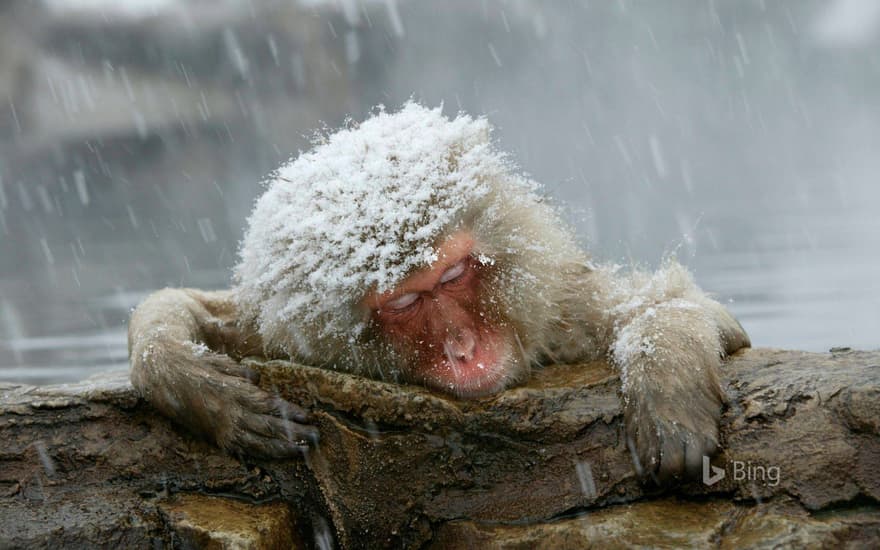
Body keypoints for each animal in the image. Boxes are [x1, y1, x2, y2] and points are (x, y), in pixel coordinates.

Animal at [129, 102, 748, 484]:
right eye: (405, 303)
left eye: (452, 276)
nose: (462, 346)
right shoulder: (274, 332)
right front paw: (194, 383)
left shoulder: (564, 307)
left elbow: (683, 310)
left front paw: (668, 392)